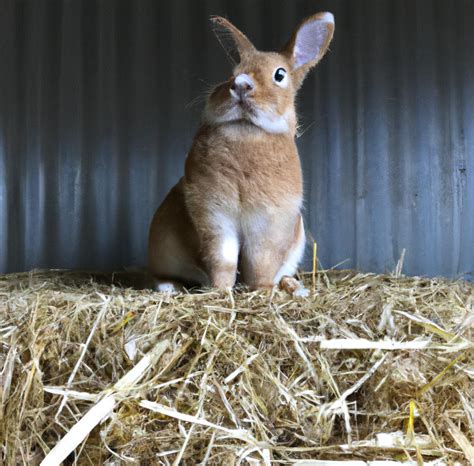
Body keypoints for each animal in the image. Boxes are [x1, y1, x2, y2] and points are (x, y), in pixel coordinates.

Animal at [150, 11, 336, 292]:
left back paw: (294, 288)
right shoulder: (215, 218)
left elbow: (261, 263)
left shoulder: (268, 224)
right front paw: (221, 290)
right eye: (233, 71)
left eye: (279, 74)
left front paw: (263, 290)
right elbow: (223, 260)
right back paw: (169, 288)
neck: (246, 129)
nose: (240, 84)